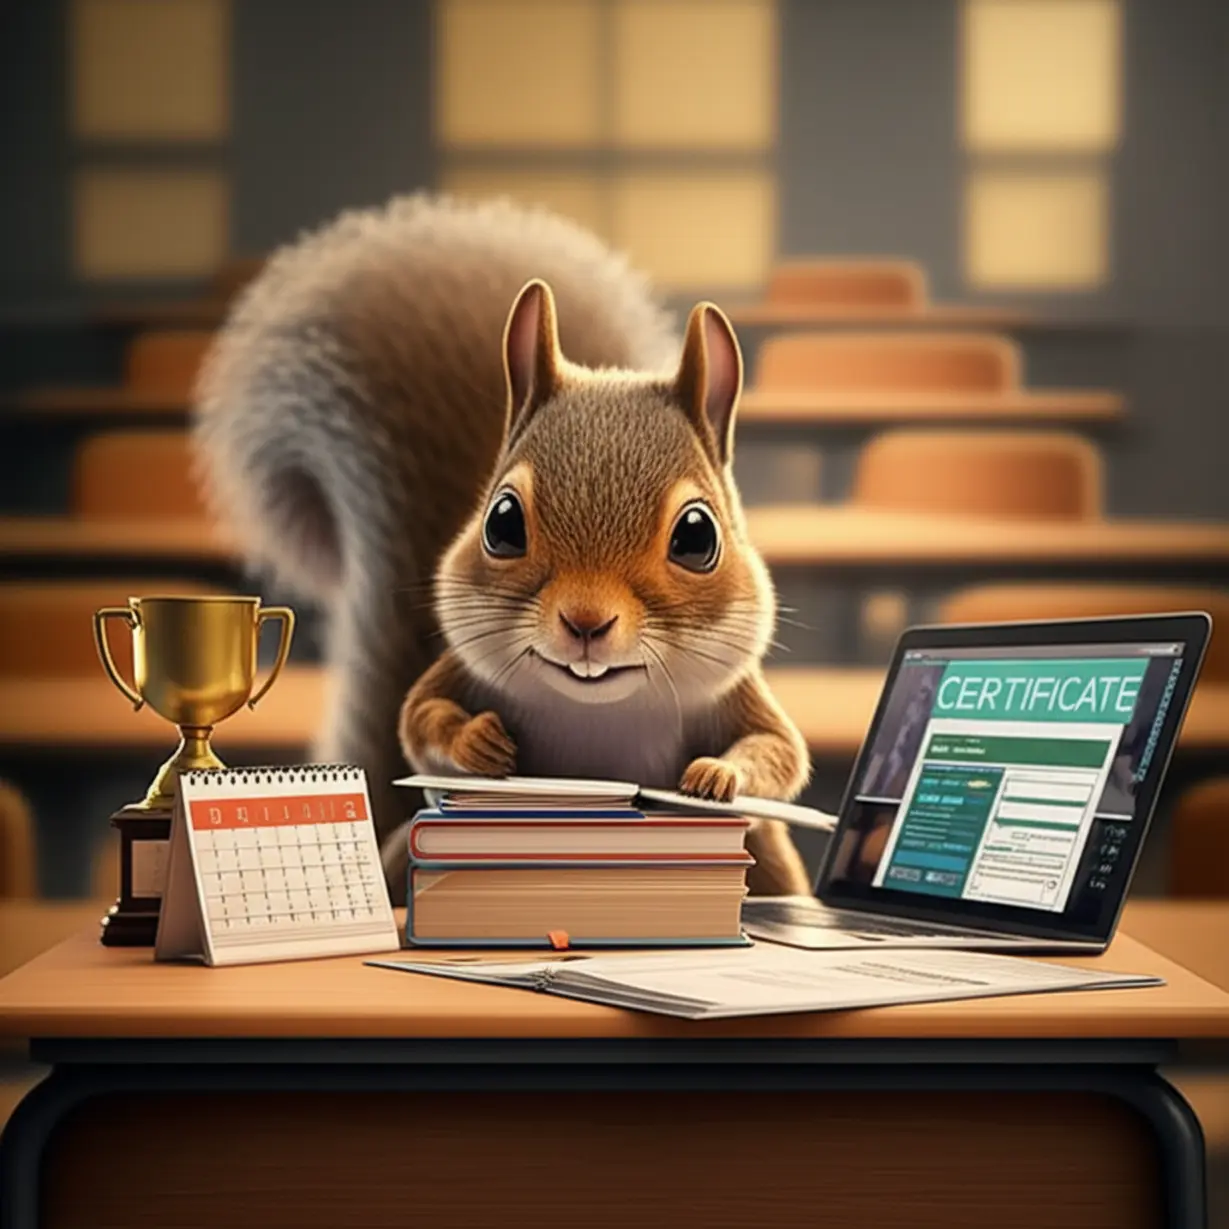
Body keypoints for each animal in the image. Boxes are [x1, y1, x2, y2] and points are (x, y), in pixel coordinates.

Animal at [192, 191, 813, 903]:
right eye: (503, 522)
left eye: (697, 536)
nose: (585, 622)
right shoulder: (465, 674)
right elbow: (419, 717)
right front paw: (479, 743)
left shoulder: (736, 697)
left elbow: (777, 749)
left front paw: (716, 775)